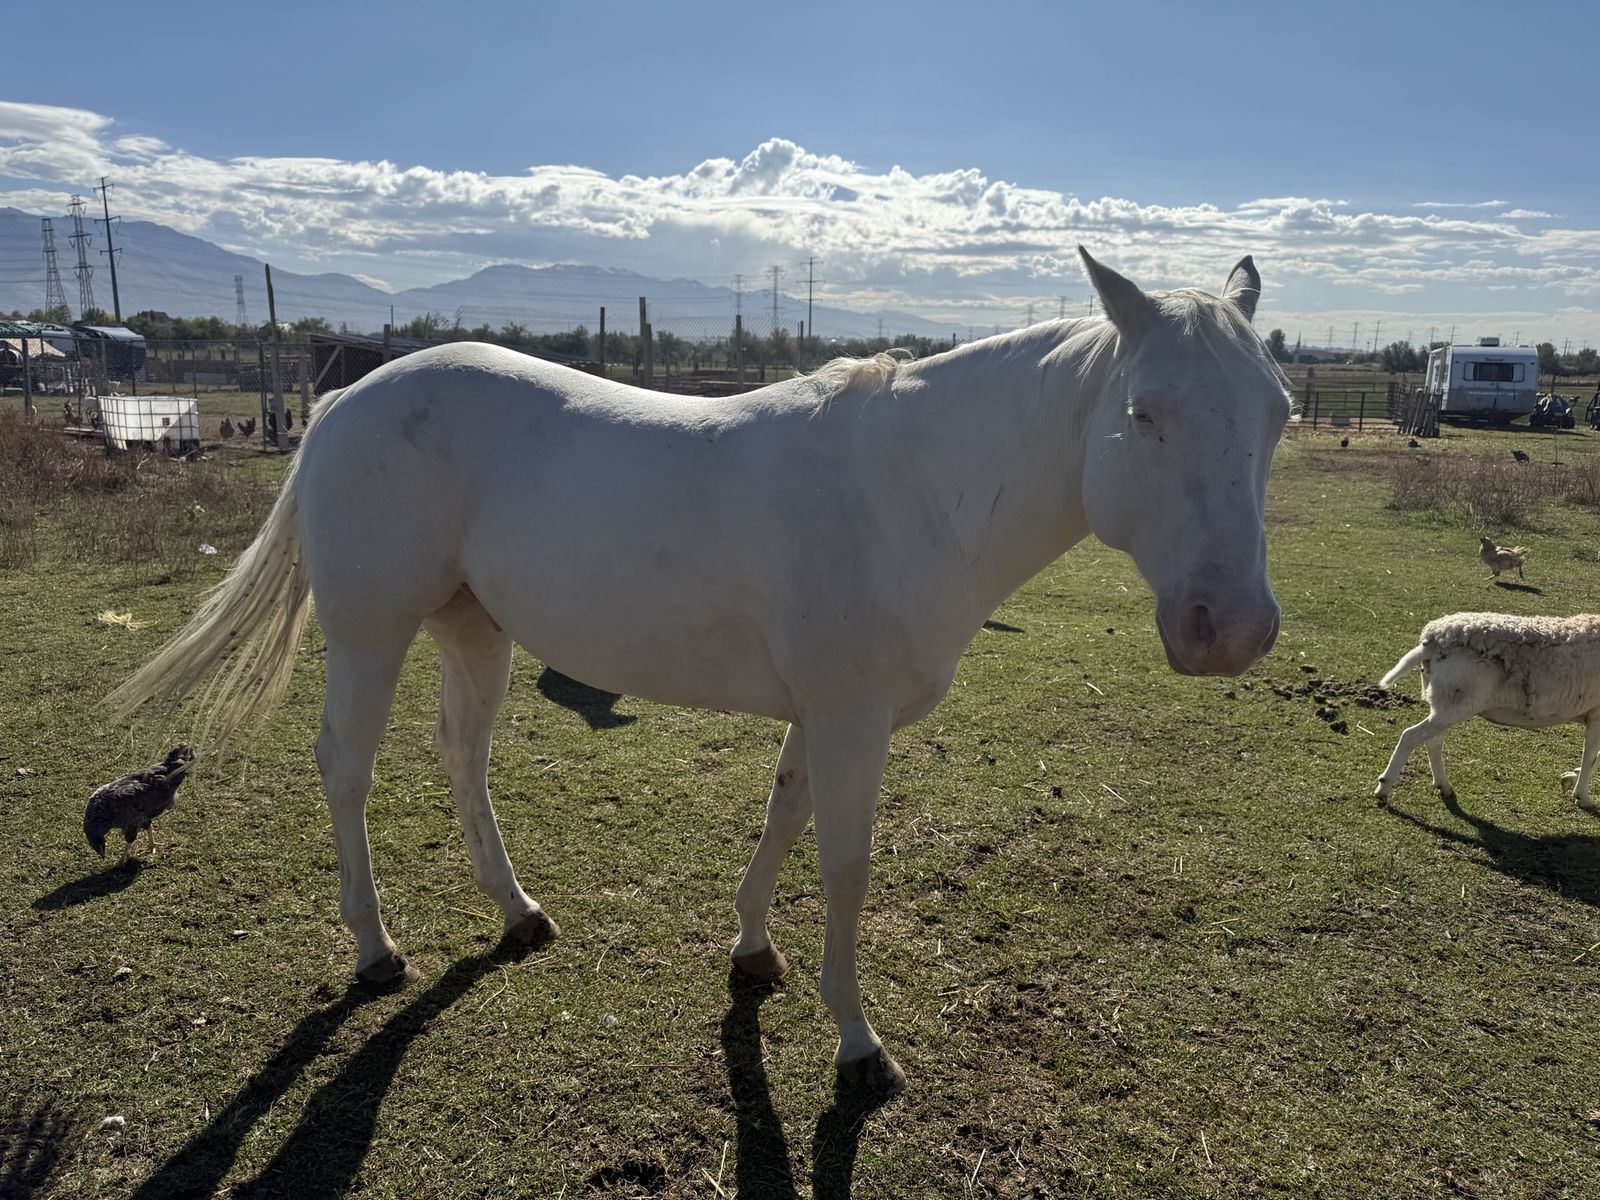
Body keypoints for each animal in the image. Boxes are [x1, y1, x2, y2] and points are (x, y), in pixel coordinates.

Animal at [107, 249, 1291, 1094]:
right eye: (1142, 414)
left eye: (1277, 415)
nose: (1227, 629)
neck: (911, 491)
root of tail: (346, 401)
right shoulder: (854, 718)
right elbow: (846, 864)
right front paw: (857, 1043)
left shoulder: (822, 712)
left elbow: (782, 814)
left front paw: (753, 949)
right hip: (369, 633)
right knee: (345, 769)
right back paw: (373, 948)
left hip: (474, 631)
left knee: (461, 758)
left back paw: (516, 912)